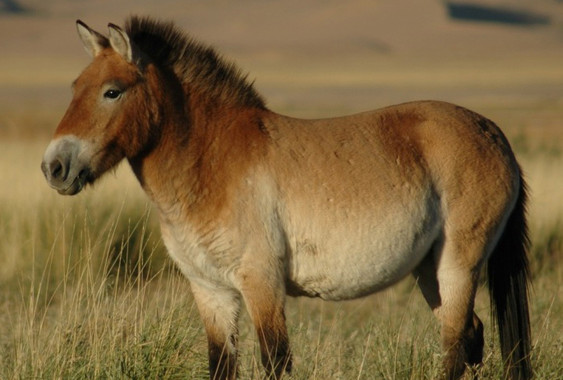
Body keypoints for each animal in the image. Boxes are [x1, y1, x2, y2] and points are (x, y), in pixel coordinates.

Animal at [40, 16, 532, 380]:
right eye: (74, 88)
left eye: (112, 91)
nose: (54, 167)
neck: (211, 162)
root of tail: (493, 133)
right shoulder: (211, 291)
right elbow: (221, 365)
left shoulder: (261, 284)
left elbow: (276, 362)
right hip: (430, 271)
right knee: (471, 337)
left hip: (458, 265)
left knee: (456, 347)